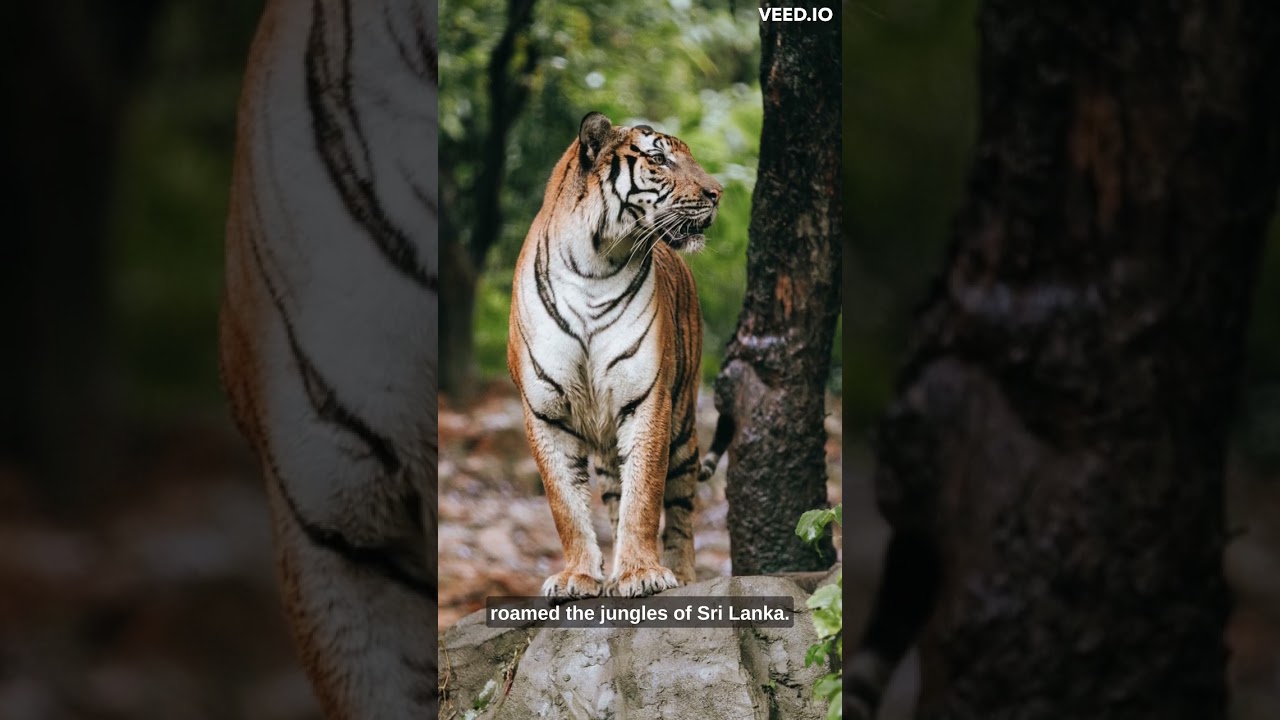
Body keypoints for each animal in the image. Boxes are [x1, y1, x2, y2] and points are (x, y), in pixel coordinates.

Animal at [508, 112, 728, 599]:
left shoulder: (646, 399)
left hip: (683, 423)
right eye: (660, 159)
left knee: (681, 508)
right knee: (613, 494)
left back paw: (683, 573)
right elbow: (566, 505)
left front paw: (642, 573)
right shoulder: (544, 411)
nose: (717, 193)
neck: (594, 265)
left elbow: (643, 495)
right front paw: (579, 576)